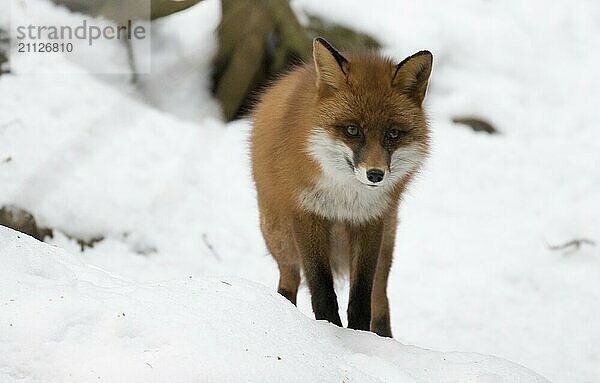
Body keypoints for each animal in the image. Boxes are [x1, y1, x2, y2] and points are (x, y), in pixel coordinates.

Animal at [250, 37, 432, 338]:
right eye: (352, 130)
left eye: (393, 134)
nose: (375, 174)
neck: (346, 199)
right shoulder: (307, 214)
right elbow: (322, 289)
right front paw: (330, 332)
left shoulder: (370, 221)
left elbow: (361, 297)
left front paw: (360, 336)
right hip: (280, 235)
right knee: (289, 280)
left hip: (387, 245)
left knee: (380, 297)